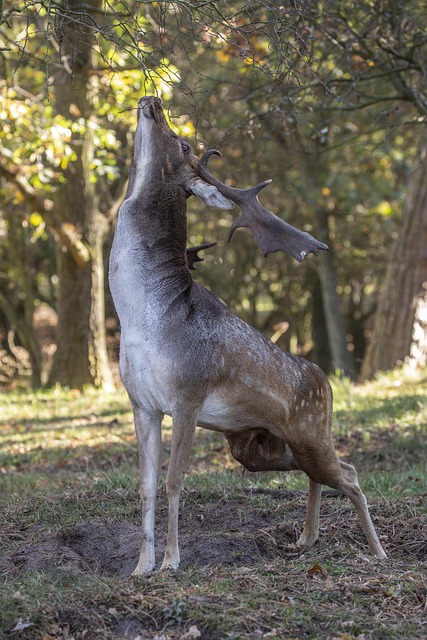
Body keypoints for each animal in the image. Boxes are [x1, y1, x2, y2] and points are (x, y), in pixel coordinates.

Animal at [108, 95, 387, 575]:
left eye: (183, 145)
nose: (153, 100)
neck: (141, 321)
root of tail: (328, 383)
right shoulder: (140, 402)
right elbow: (144, 485)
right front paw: (140, 567)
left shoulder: (188, 392)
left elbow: (174, 480)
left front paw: (171, 562)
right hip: (260, 447)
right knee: (321, 472)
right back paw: (306, 539)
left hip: (311, 429)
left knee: (348, 474)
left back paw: (378, 552)